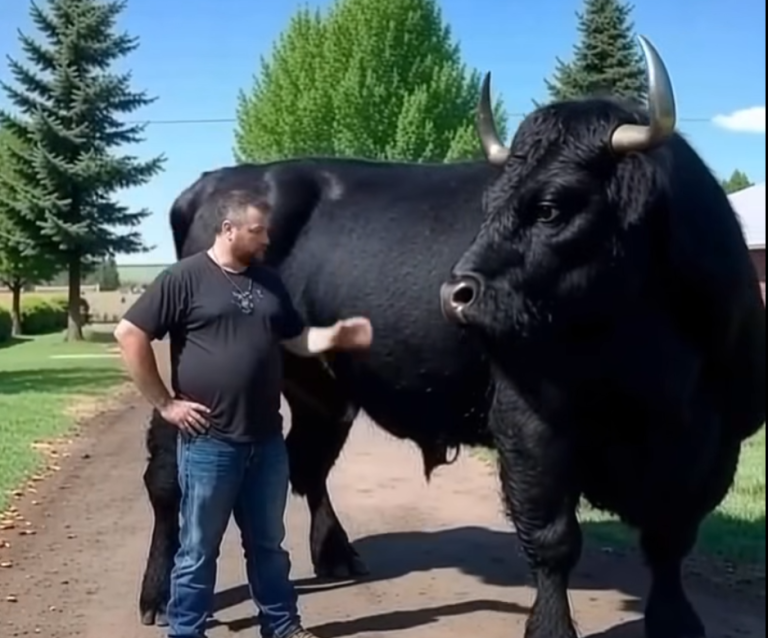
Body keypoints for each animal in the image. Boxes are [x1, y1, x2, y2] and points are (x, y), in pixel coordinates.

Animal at [440, 35, 766, 638]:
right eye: (488, 205)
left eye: (550, 207)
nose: (455, 293)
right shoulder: (527, 432)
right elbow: (553, 539)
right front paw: (549, 626)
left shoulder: (715, 445)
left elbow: (669, 539)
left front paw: (674, 620)